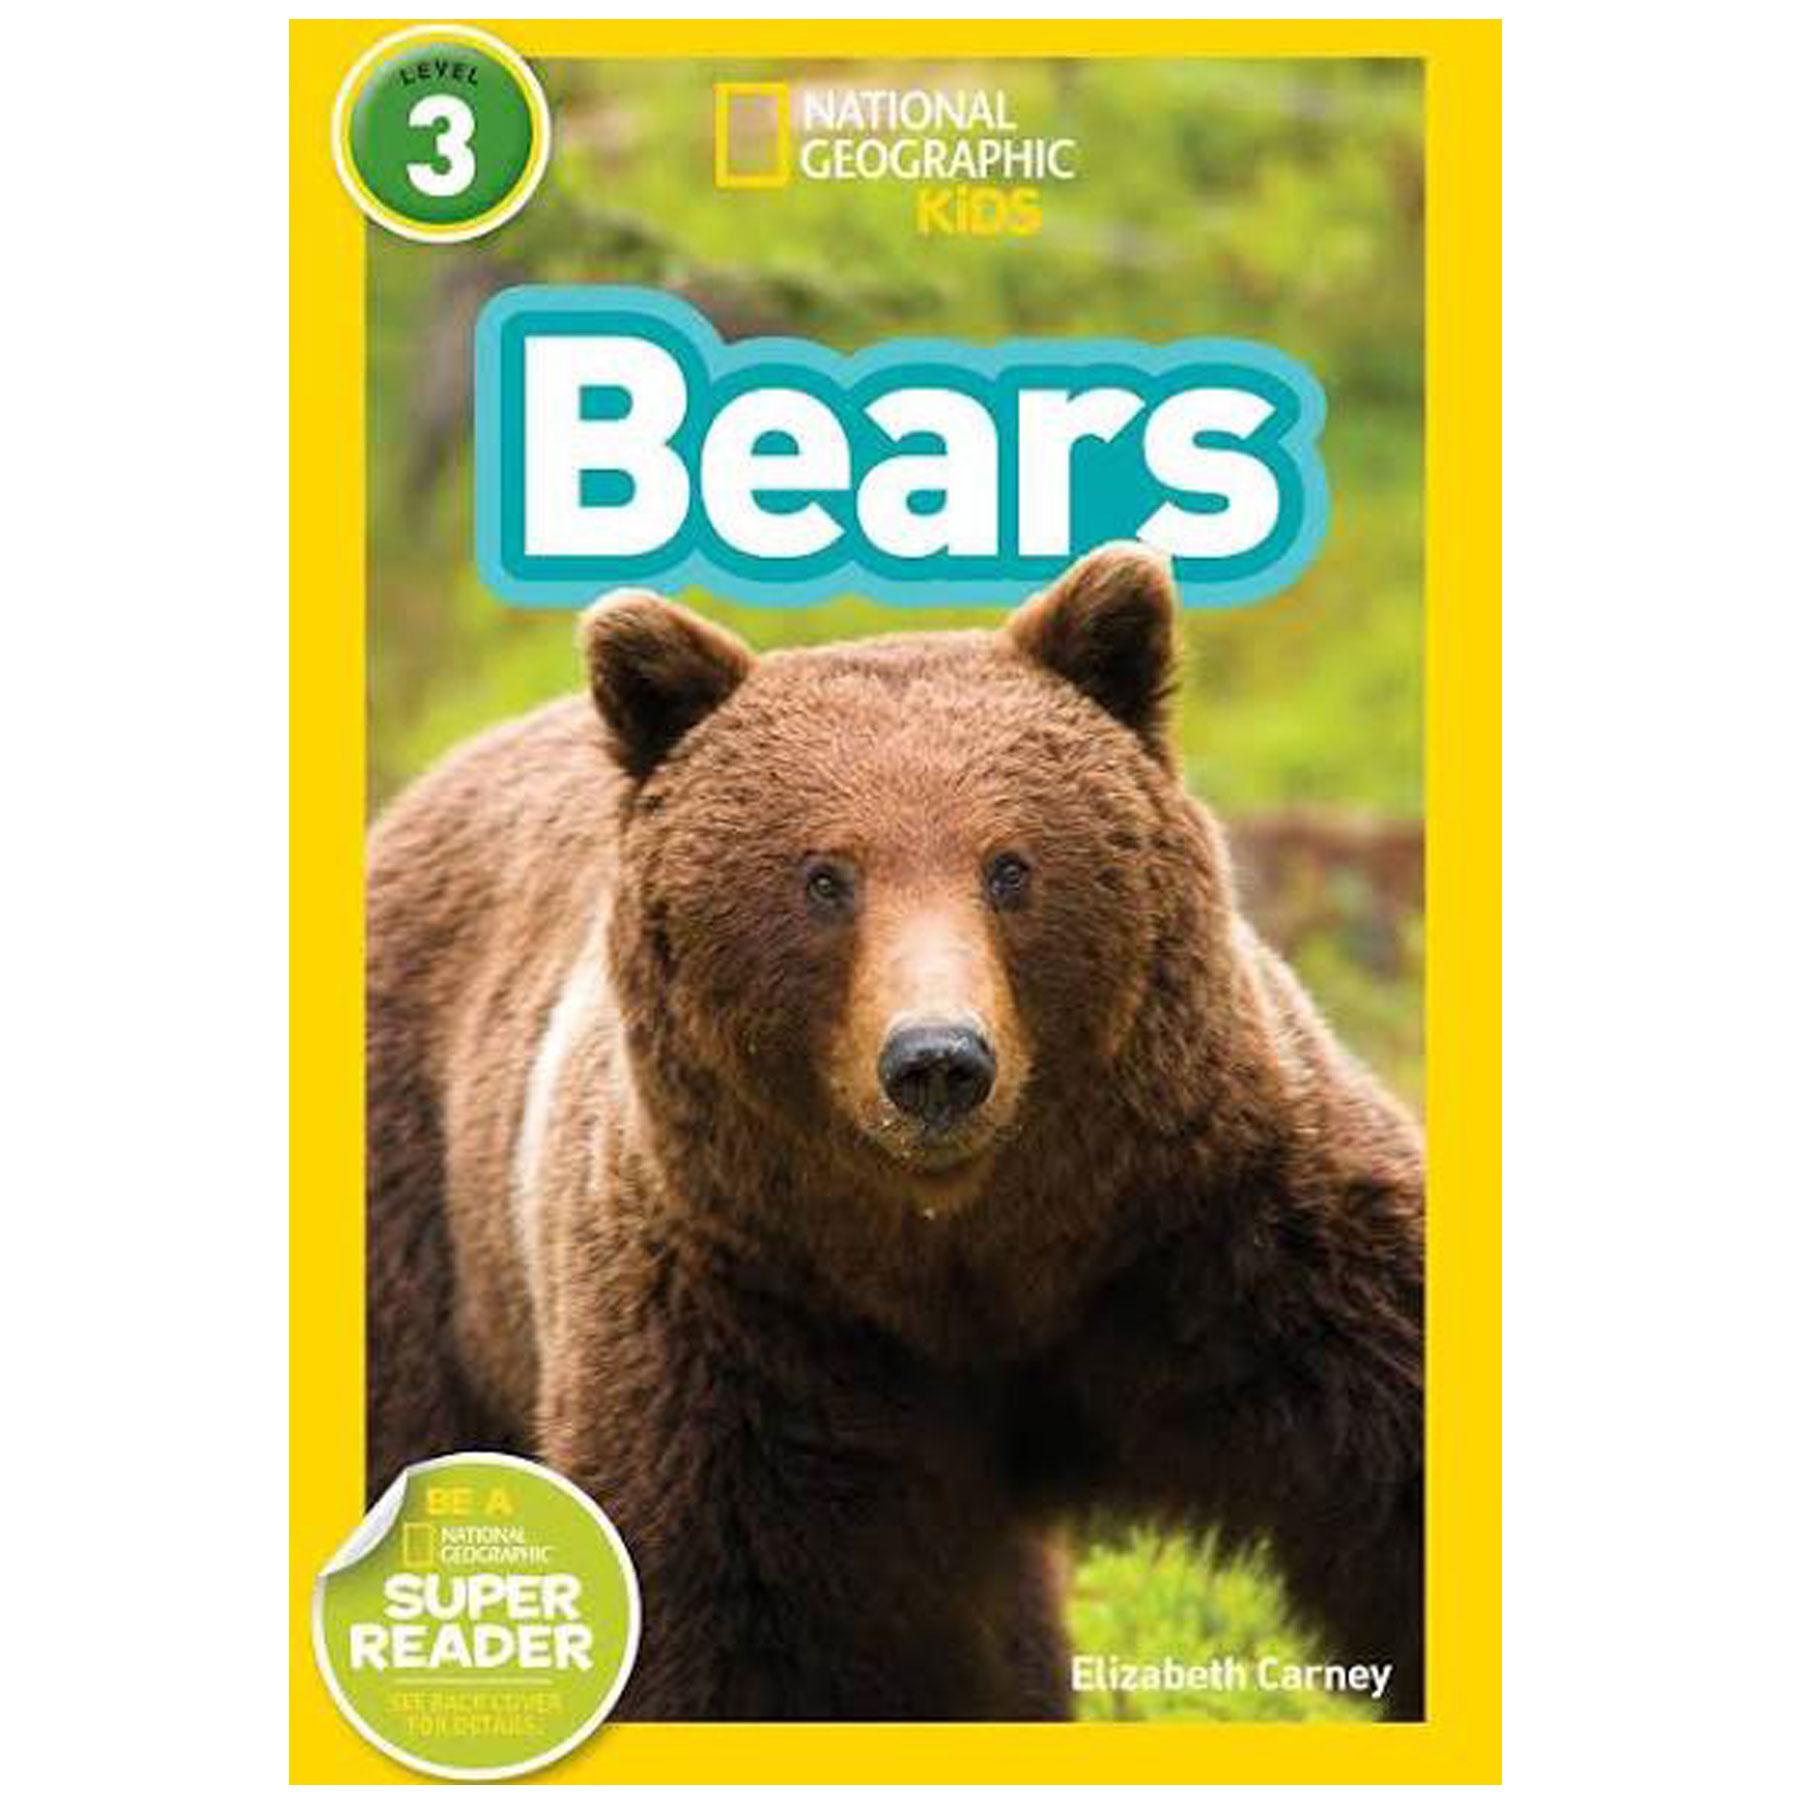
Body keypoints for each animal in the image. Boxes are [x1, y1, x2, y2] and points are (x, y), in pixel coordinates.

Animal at [365, 543, 1424, 1722]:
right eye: (824, 877)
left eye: (1011, 866)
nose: (937, 1061)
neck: (960, 1254)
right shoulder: (739, 1330)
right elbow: (716, 1627)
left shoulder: (1226, 1232)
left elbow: (1395, 1454)